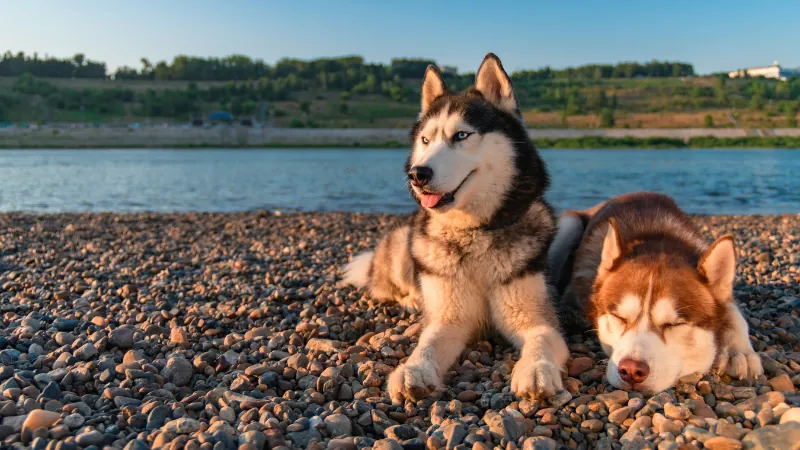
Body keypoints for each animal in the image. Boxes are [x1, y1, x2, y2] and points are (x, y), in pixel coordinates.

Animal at [342, 54, 568, 402]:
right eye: (425, 140)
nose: (417, 174)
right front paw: (413, 369)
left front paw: (536, 369)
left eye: (461, 136)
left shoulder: (537, 317)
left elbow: (541, 338)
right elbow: (428, 344)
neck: (474, 232)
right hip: (404, 243)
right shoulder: (450, 317)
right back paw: (411, 299)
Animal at [552, 192, 764, 392]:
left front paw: (739, 351)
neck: (658, 238)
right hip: (568, 224)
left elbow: (734, 313)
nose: (631, 370)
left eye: (674, 324)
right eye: (619, 317)